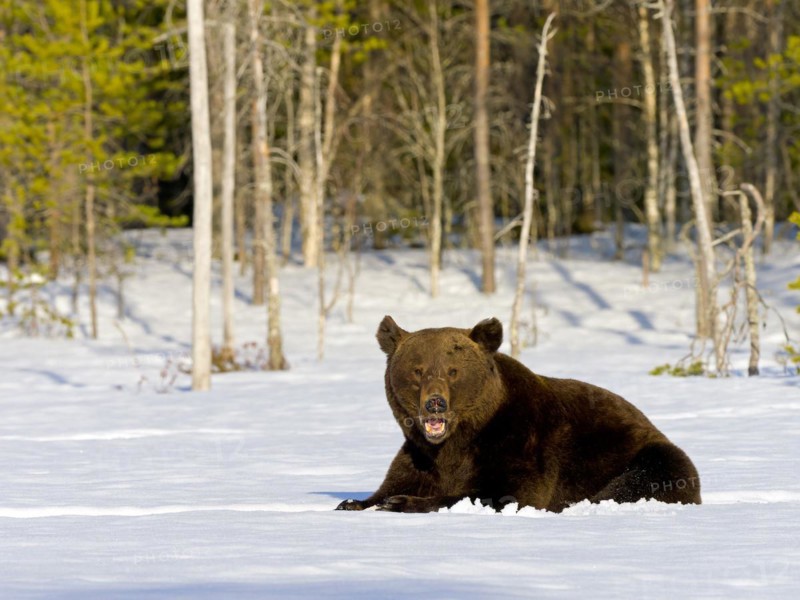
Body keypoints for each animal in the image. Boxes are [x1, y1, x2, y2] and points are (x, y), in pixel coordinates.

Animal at [335, 316, 701, 513]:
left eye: (453, 371)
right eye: (418, 370)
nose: (435, 403)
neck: (458, 441)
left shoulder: (519, 441)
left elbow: (501, 492)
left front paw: (401, 502)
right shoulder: (420, 457)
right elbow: (393, 482)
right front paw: (353, 502)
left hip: (648, 455)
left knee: (640, 480)